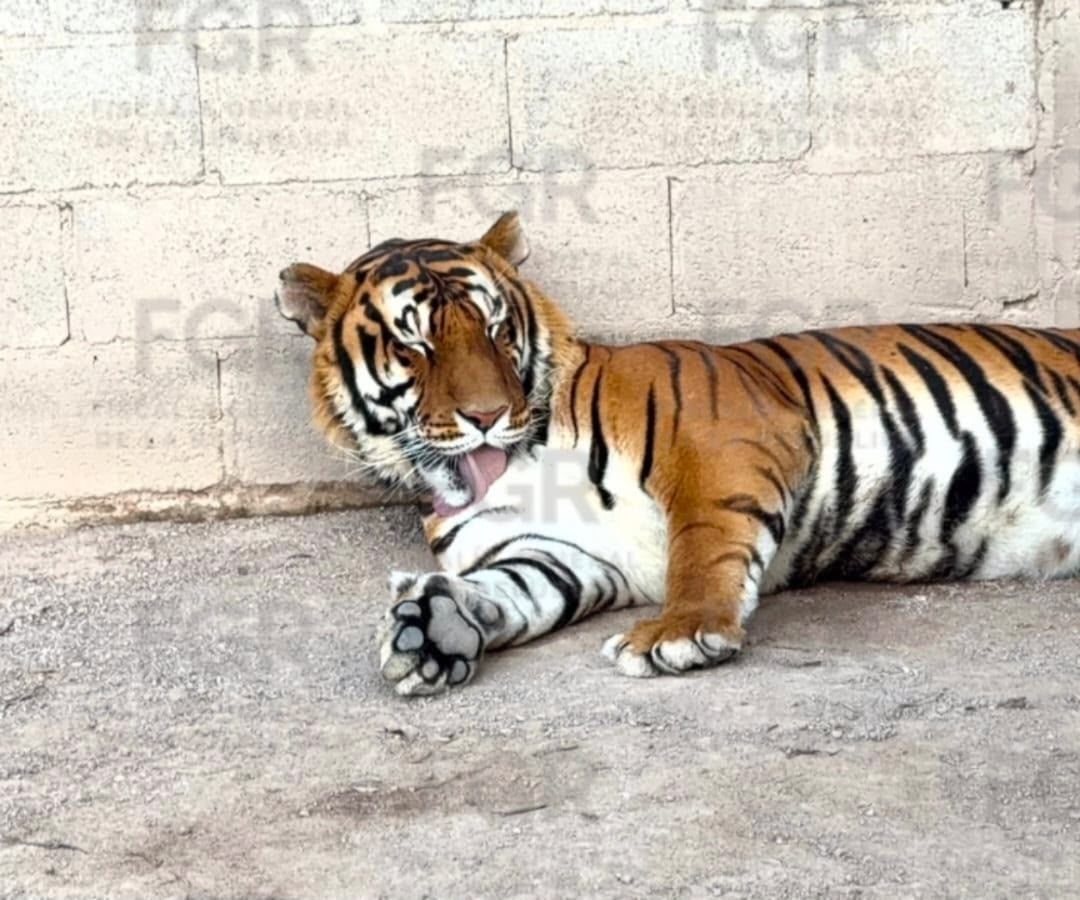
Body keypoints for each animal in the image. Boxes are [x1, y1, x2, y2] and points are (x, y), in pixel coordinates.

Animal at [275, 211, 1080, 696]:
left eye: (497, 330)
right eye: (416, 343)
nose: (487, 416)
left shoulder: (725, 440)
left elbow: (705, 543)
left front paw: (682, 632)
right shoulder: (558, 555)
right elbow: (507, 591)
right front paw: (430, 630)